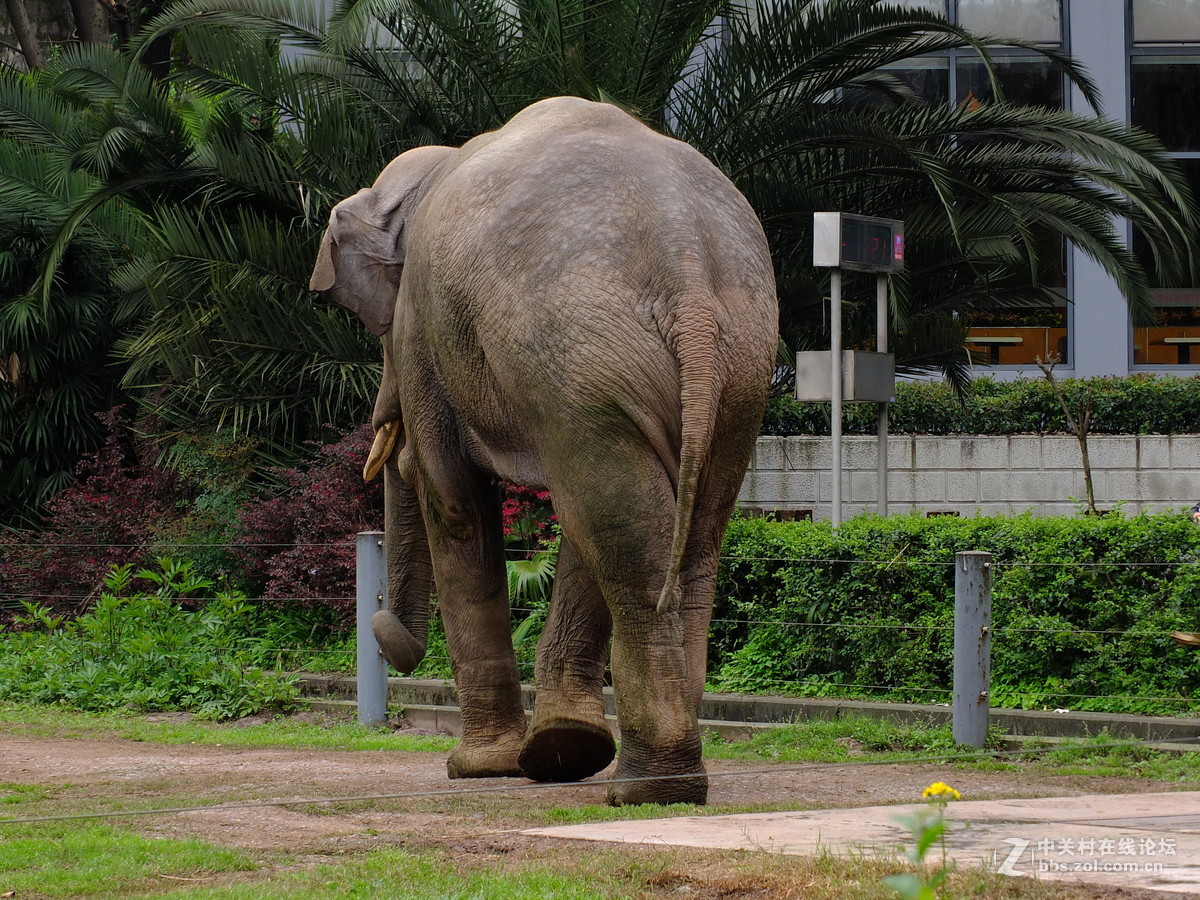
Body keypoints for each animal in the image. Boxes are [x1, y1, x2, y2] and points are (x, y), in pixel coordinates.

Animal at [309, 95, 777, 806]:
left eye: (374, 325)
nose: (388, 637)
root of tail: (686, 265)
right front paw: (562, 750)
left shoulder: (423, 324)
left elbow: (455, 503)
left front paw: (482, 767)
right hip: (729, 365)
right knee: (665, 527)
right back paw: (657, 776)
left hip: (576, 352)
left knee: (615, 525)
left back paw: (646, 789)